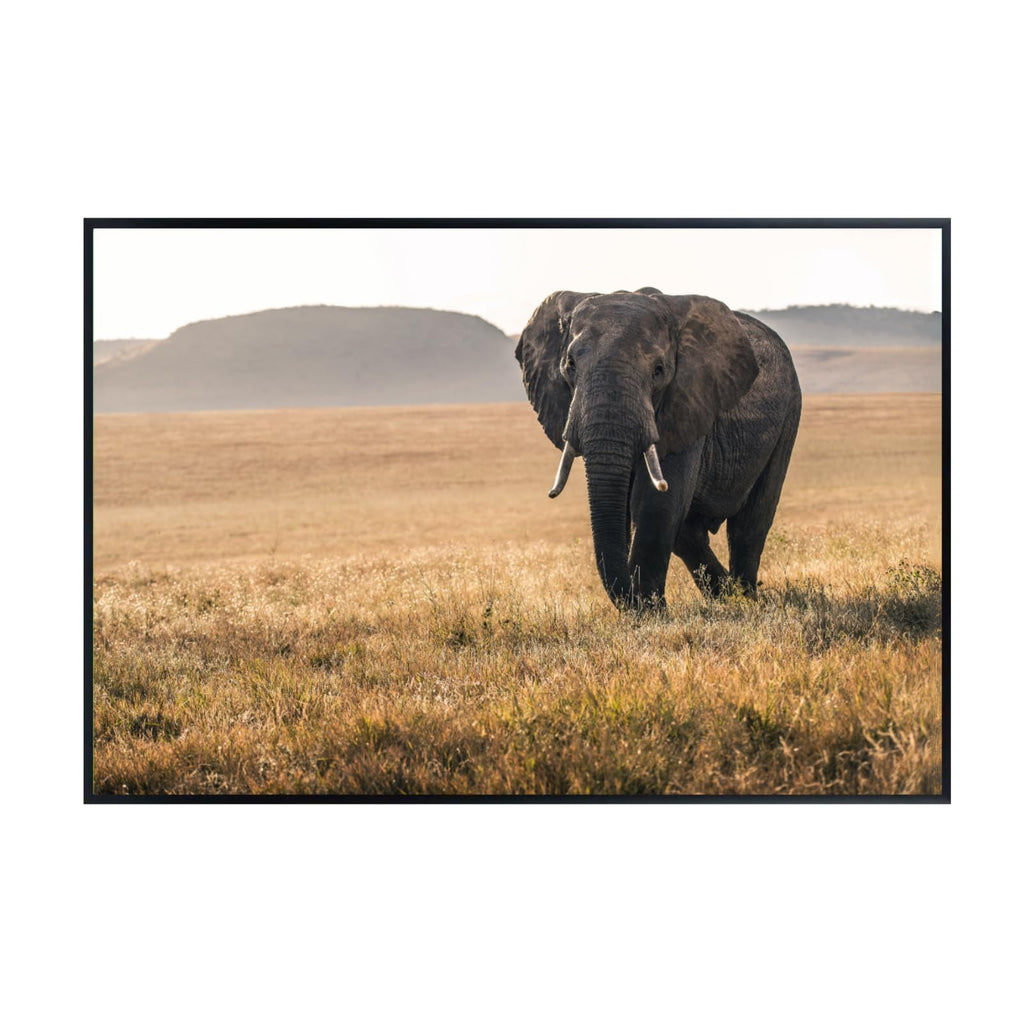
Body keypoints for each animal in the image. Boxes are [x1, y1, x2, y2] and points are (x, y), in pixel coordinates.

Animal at [515, 287, 801, 611]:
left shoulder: (688, 400)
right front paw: (646, 608)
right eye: (570, 365)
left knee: (750, 523)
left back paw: (745, 599)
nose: (633, 600)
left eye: (658, 370)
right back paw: (726, 596)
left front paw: (650, 612)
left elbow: (656, 503)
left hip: (790, 411)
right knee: (689, 534)